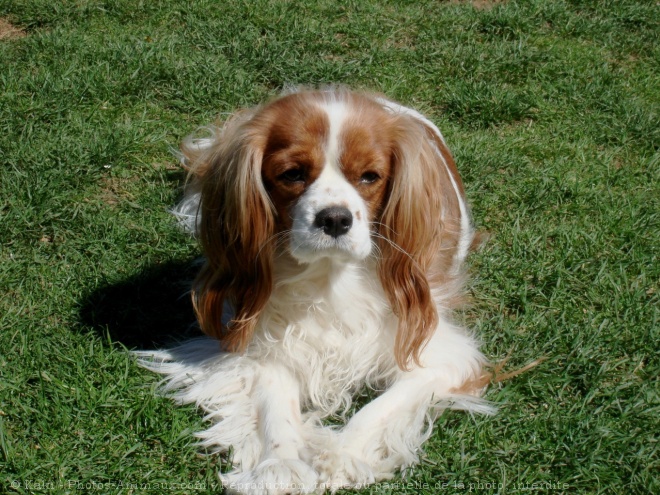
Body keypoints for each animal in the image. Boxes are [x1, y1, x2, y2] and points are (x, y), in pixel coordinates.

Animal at [135, 90, 496, 495]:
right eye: (292, 174)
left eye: (369, 177)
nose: (335, 218)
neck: (329, 276)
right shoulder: (258, 340)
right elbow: (274, 405)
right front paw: (280, 464)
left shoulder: (440, 355)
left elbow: (383, 406)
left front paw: (342, 453)